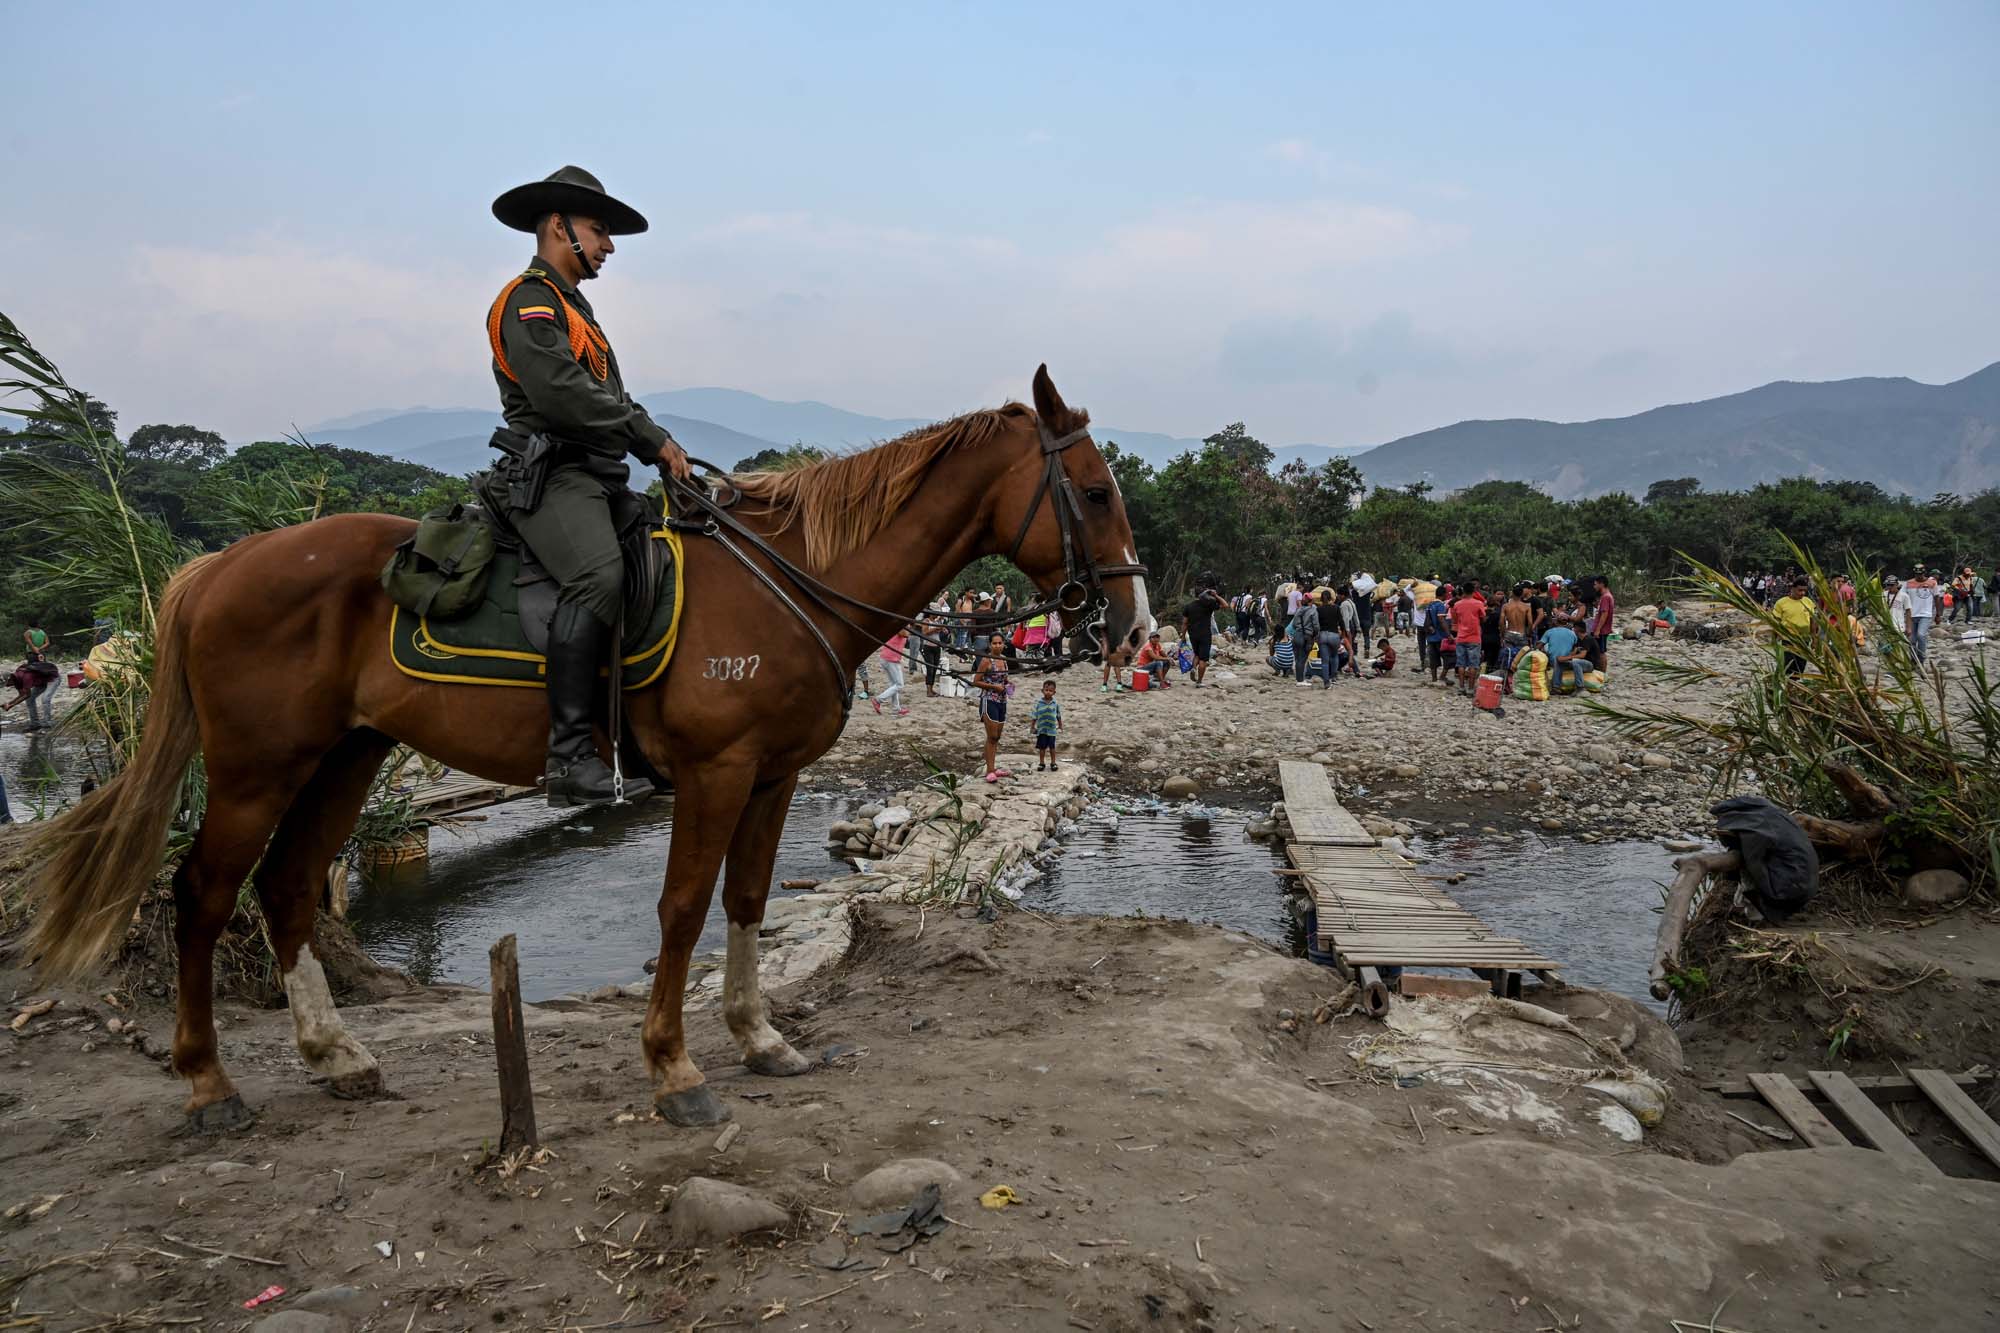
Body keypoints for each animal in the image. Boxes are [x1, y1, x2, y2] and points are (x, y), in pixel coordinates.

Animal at [23, 366, 1152, 1128]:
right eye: (1095, 493)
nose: (1132, 626)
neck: (788, 580)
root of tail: (220, 564)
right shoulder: (715, 772)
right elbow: (684, 908)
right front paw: (674, 1065)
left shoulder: (775, 776)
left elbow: (746, 901)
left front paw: (760, 1038)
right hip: (259, 767)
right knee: (204, 893)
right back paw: (209, 1080)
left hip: (345, 757)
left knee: (289, 886)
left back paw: (335, 1056)